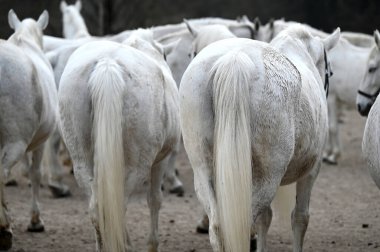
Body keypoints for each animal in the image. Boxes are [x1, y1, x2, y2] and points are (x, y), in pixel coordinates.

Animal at [58, 28, 180, 251]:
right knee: (119, 206)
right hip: (136, 167)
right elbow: (154, 199)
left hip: (82, 164)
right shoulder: (160, 161)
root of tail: (108, 64)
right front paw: (152, 244)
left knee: (98, 209)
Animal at [180, 24, 340, 252]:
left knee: (218, 227)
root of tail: (234, 58)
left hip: (204, 172)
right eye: (330, 72)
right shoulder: (311, 170)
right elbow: (300, 218)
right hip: (268, 177)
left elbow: (266, 218)